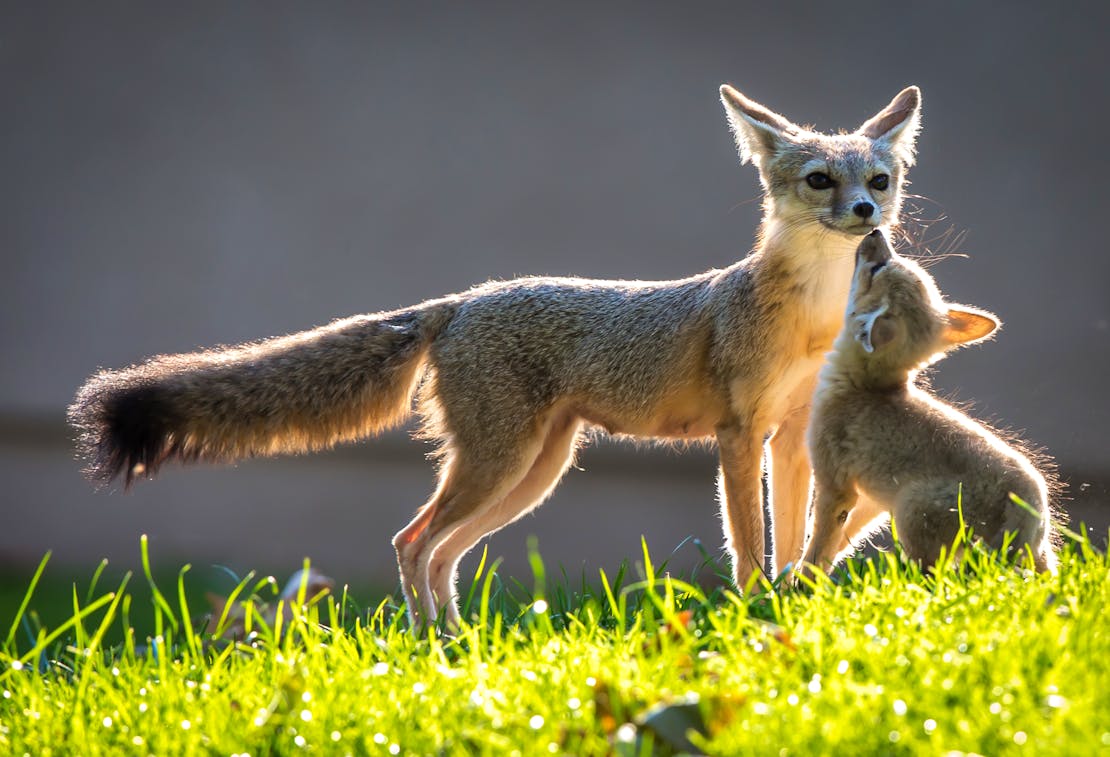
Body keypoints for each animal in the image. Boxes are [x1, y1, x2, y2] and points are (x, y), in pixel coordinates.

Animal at [67, 83, 919, 626]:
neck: (811, 318)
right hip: (503, 466)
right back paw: (428, 644)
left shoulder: (791, 434)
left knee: (439, 551)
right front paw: (754, 610)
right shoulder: (739, 435)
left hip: (530, 473)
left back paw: (451, 642)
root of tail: (461, 301)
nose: (866, 212)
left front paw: (794, 597)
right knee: (412, 541)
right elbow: (750, 541)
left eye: (878, 179)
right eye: (820, 180)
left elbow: (799, 536)